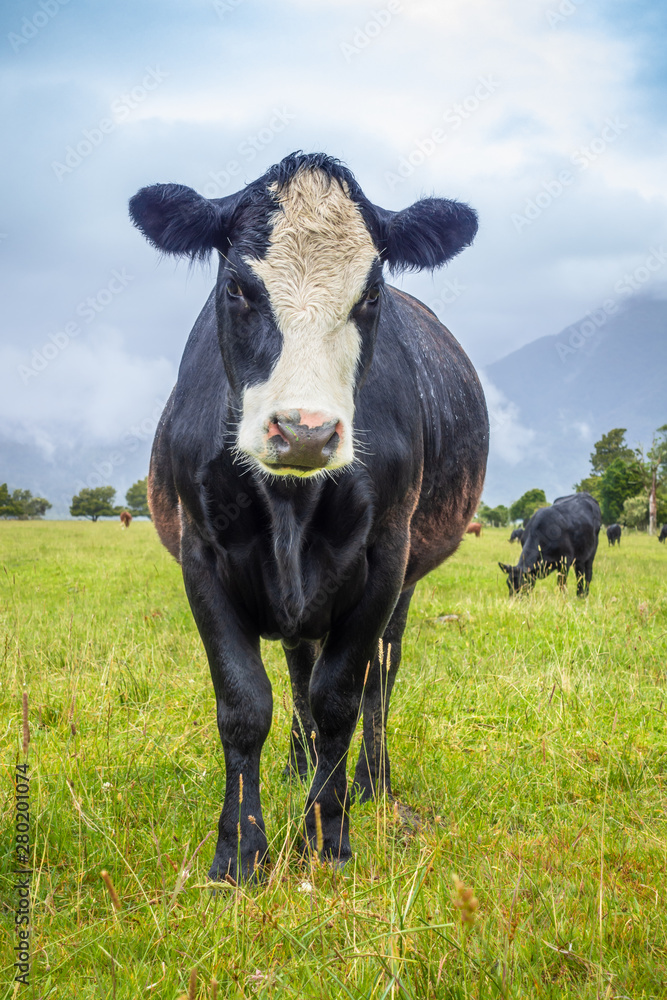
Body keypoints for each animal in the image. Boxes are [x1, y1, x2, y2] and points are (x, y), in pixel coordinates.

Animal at [129, 150, 490, 884]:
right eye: (237, 287)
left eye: (371, 295)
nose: (304, 431)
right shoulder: (201, 557)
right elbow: (246, 704)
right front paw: (239, 853)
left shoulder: (383, 561)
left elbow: (340, 700)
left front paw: (328, 839)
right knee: (298, 670)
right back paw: (299, 768)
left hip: (401, 581)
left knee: (379, 676)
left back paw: (372, 783)